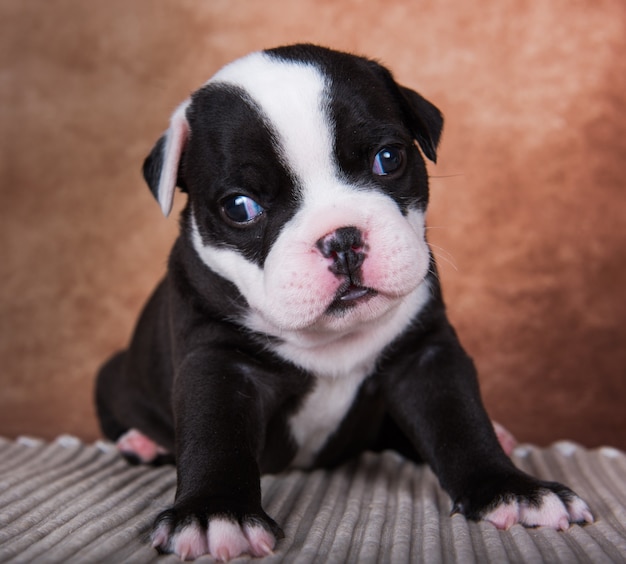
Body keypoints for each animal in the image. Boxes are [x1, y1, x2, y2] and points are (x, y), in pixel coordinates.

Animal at [95, 44, 592, 560]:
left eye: (388, 159)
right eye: (240, 207)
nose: (342, 240)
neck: (332, 338)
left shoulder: (425, 355)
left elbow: (460, 421)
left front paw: (512, 490)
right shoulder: (220, 363)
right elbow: (215, 436)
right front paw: (215, 513)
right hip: (114, 375)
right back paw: (142, 441)